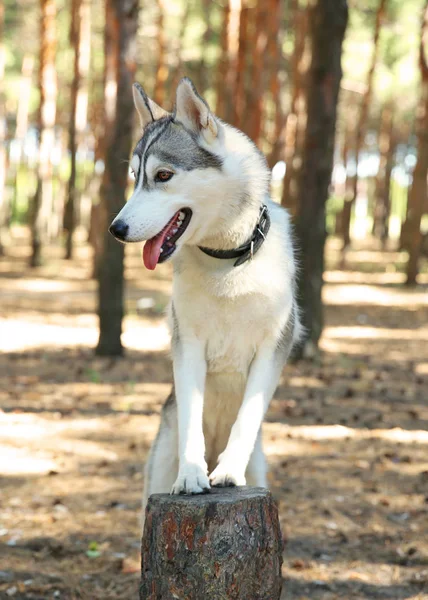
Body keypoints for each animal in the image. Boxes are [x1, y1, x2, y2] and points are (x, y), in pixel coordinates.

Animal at [108, 75, 302, 516]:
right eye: (135, 176)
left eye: (163, 175)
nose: (116, 228)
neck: (228, 262)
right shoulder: (189, 346)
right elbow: (192, 418)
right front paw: (192, 475)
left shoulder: (274, 347)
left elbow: (247, 417)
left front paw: (226, 471)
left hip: (260, 467)